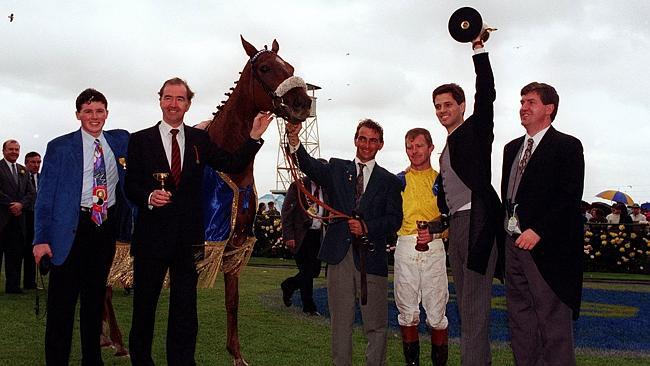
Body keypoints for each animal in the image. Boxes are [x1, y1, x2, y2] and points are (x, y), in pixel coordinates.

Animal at [205, 37, 312, 366]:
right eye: (265, 68)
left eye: (290, 67)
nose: (303, 103)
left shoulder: (235, 241)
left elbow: (232, 301)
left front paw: (236, 354)